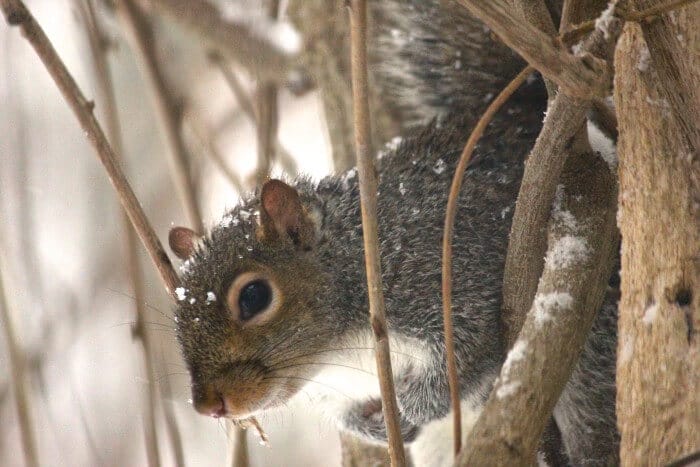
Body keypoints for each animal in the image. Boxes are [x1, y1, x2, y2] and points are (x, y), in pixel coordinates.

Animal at [170, 0, 619, 465]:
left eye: (254, 296)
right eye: (176, 310)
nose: (208, 406)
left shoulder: (445, 275)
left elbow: (464, 354)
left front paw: (405, 410)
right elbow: (349, 416)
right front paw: (375, 426)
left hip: (595, 343)